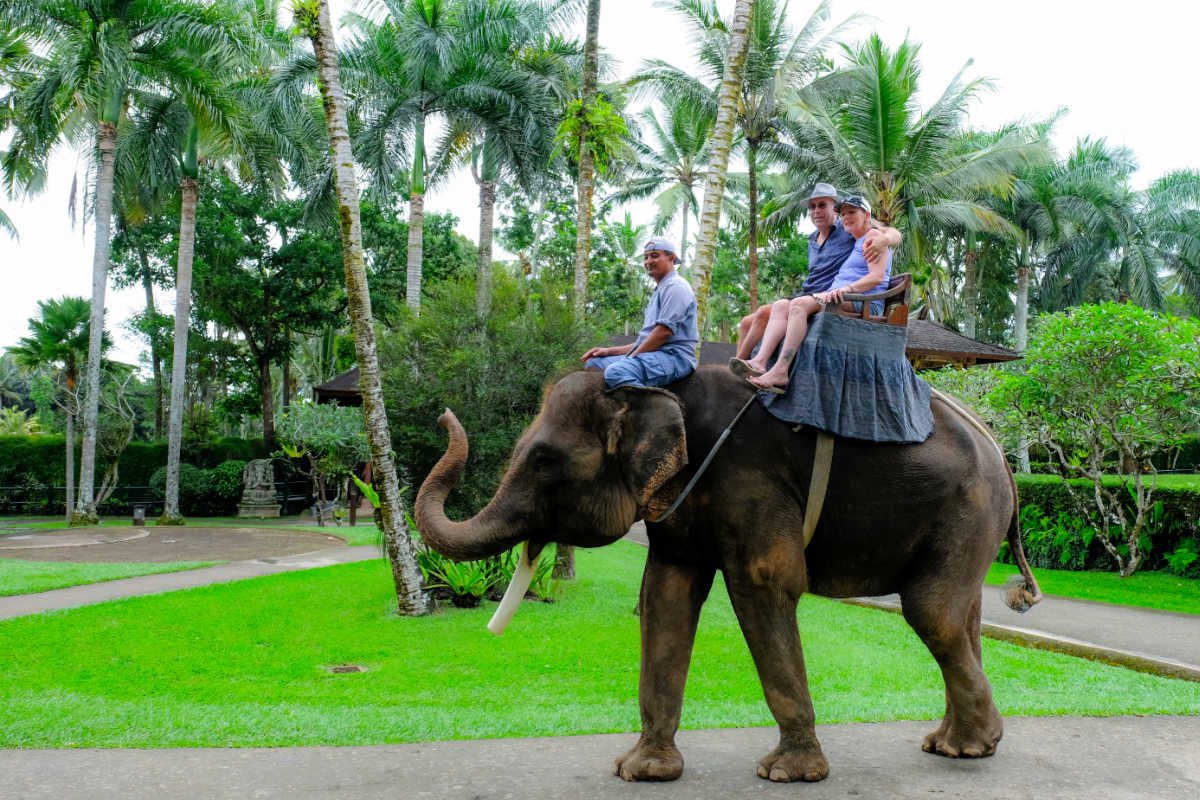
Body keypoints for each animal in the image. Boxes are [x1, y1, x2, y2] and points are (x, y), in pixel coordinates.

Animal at [415, 366, 1042, 783]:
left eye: (545, 461)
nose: (441, 413)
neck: (657, 389)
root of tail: (998, 446)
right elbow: (665, 592)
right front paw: (641, 772)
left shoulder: (749, 480)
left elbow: (765, 583)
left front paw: (788, 775)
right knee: (960, 616)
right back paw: (958, 746)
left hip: (969, 507)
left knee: (931, 612)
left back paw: (976, 744)